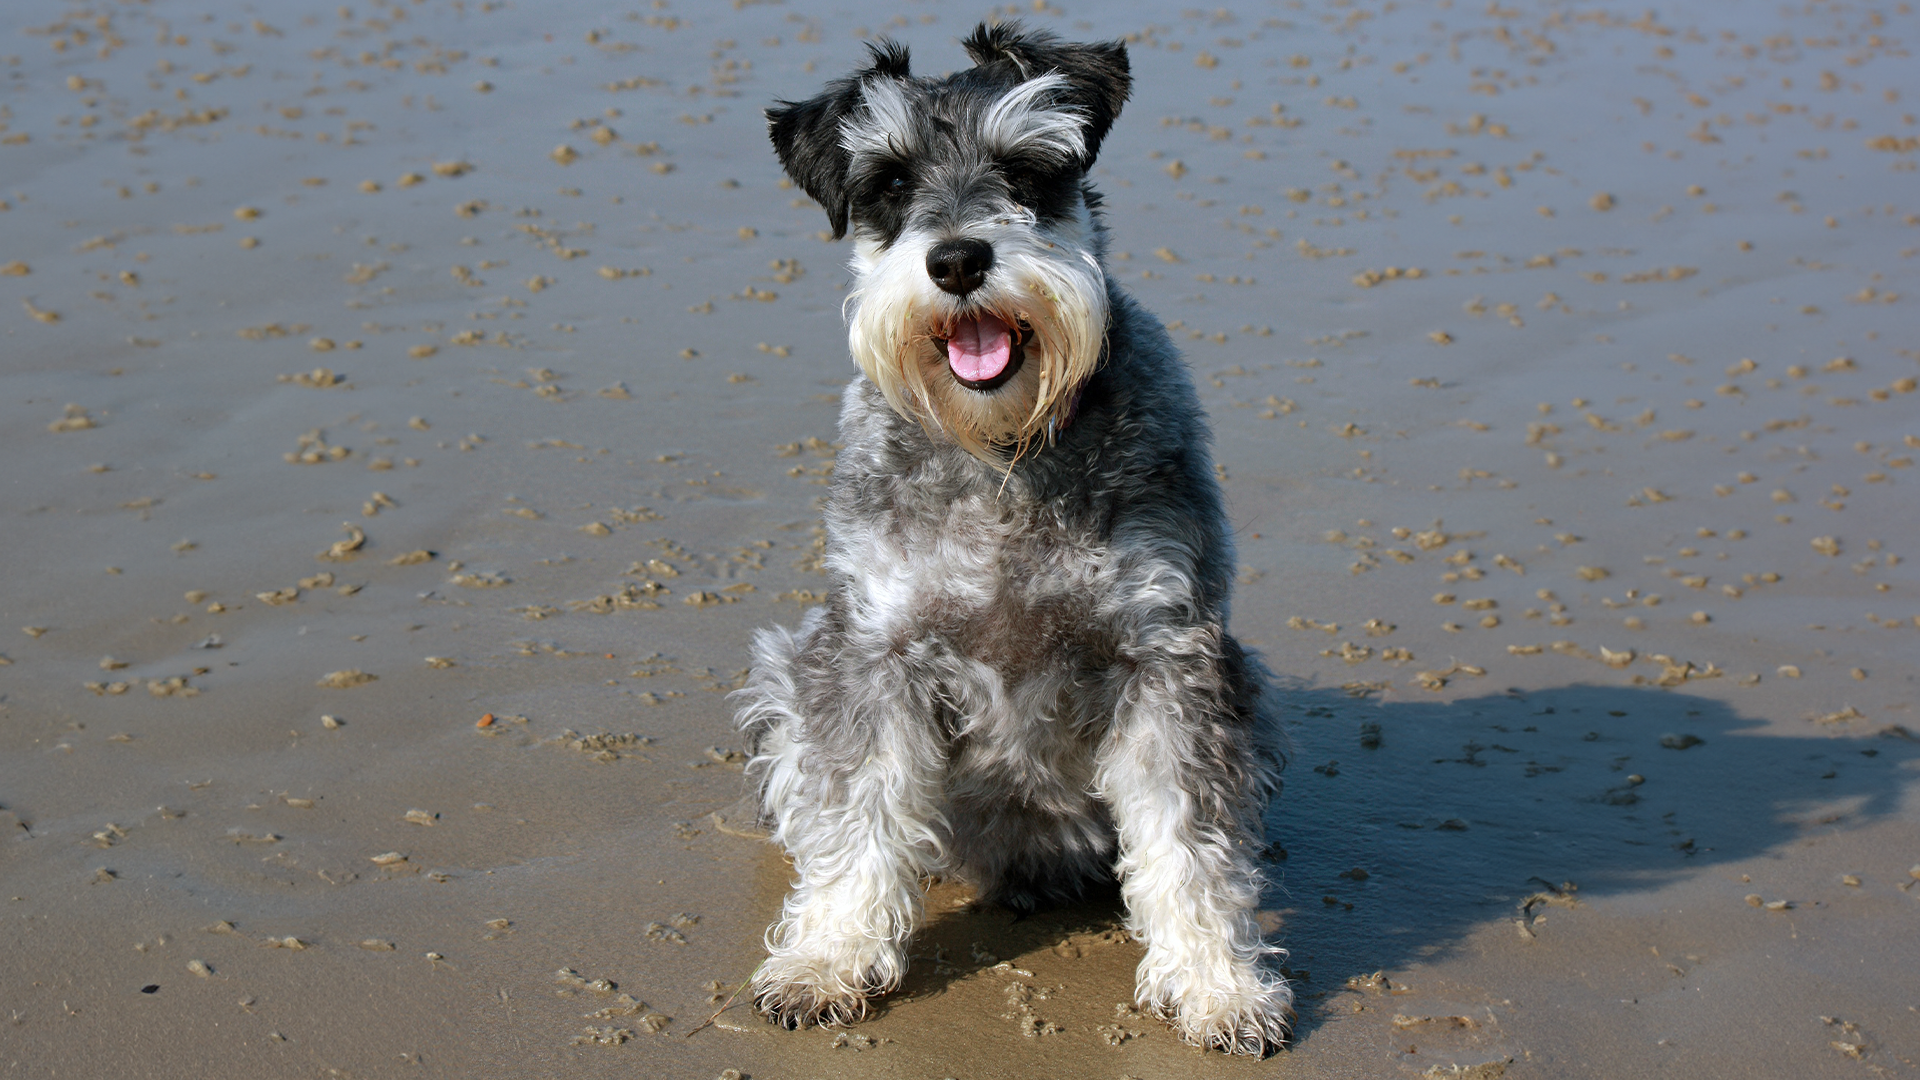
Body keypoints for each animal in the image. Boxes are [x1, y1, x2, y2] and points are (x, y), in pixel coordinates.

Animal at [733, 23, 1290, 1053]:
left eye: (1028, 169)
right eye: (889, 183)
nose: (957, 260)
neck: (1002, 455)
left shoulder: (1167, 660)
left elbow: (1191, 843)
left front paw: (1219, 986)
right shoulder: (873, 657)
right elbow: (855, 815)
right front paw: (826, 958)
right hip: (789, 671)